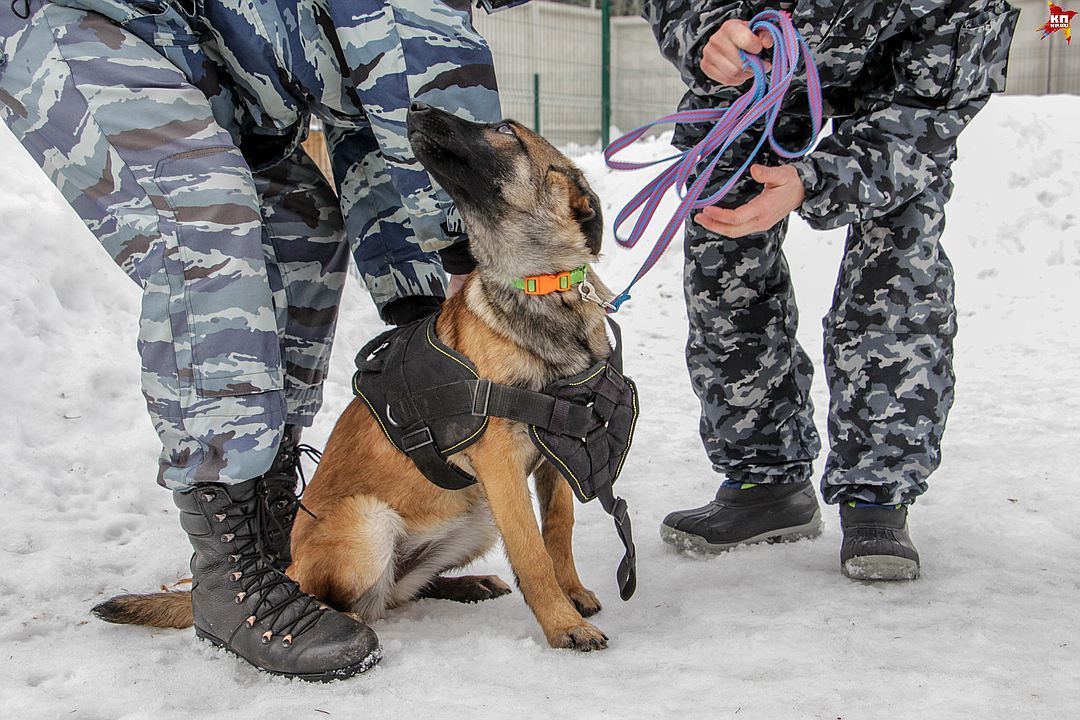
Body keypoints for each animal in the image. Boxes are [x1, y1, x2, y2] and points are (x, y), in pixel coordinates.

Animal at [95, 99, 630, 651]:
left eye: (504, 130)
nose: (415, 104)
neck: (543, 287)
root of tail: (287, 569)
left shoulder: (555, 455)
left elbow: (559, 531)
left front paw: (573, 593)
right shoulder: (501, 466)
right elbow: (531, 551)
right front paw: (562, 623)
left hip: (473, 516)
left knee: (398, 591)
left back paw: (467, 583)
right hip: (375, 524)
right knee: (350, 599)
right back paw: (320, 621)